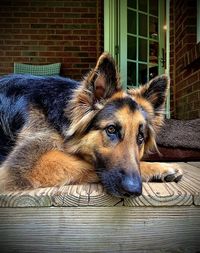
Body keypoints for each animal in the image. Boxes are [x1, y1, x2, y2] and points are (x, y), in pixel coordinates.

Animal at [0, 52, 183, 197]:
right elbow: (88, 164)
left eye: (140, 137)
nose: (134, 190)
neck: (63, 114)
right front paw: (158, 167)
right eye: (111, 130)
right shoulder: (24, 165)